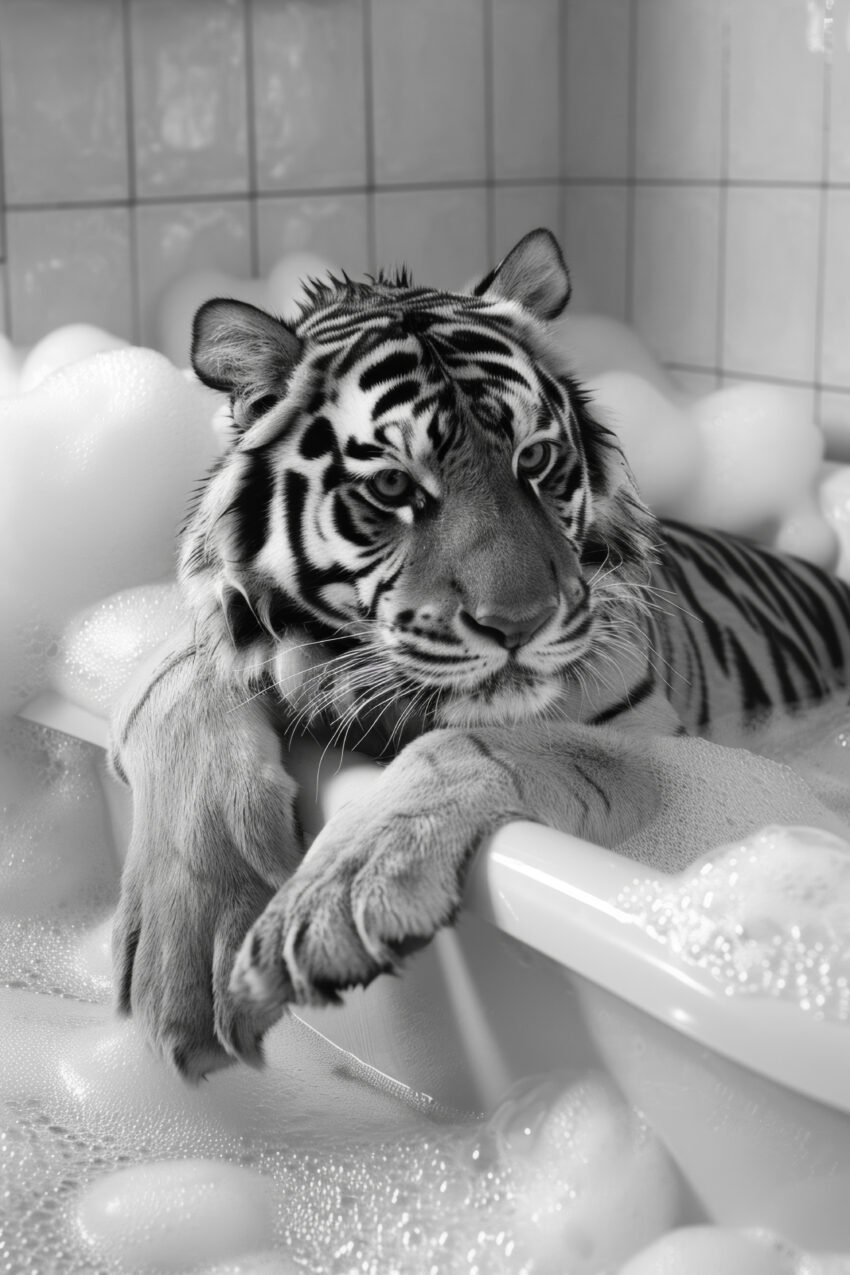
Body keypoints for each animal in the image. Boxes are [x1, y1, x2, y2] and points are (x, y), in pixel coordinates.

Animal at [110, 228, 850, 1080]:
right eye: (393, 486)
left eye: (535, 459)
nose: (520, 622)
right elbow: (177, 687)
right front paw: (192, 957)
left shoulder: (660, 743)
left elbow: (473, 742)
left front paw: (338, 895)